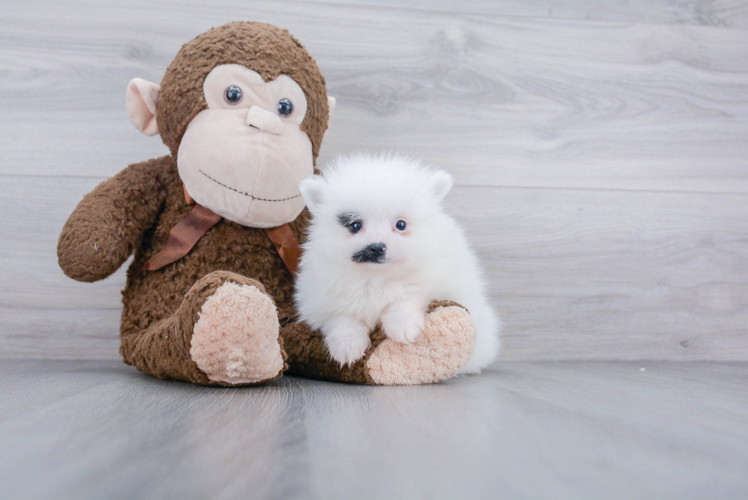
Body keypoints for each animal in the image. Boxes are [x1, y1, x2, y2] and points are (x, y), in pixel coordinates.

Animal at [296, 154, 500, 374]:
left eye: (401, 224)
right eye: (355, 225)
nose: (377, 247)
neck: (376, 277)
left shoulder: (433, 279)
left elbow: (406, 296)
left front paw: (403, 326)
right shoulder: (322, 298)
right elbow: (342, 318)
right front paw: (347, 347)